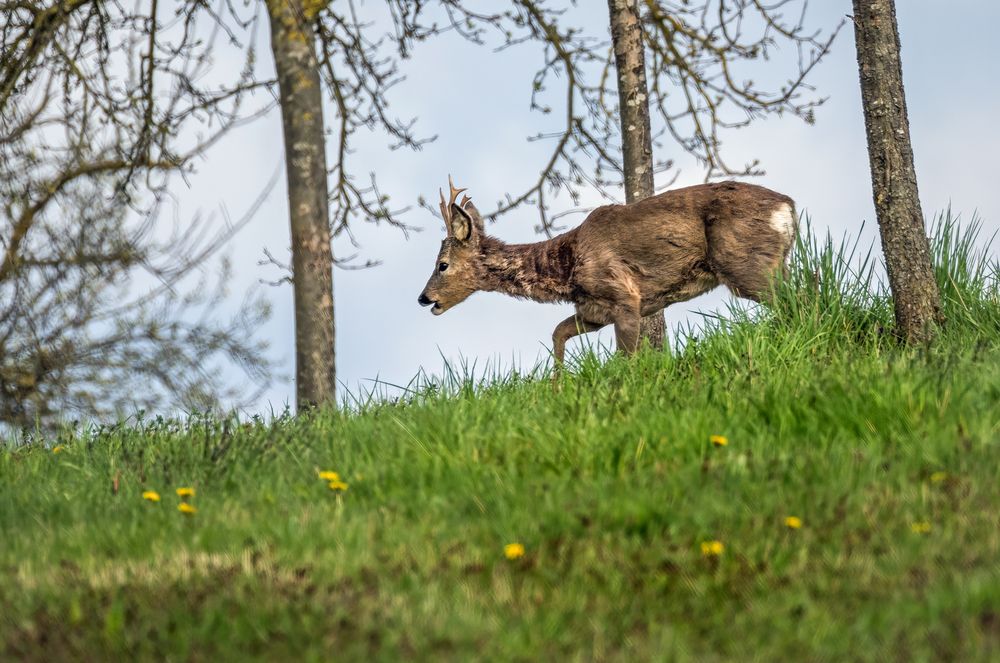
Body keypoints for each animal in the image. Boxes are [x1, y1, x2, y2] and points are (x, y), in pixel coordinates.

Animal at [416, 178, 796, 364]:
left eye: (442, 265)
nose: (423, 298)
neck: (567, 267)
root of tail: (788, 206)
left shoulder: (625, 295)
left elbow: (625, 358)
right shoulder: (594, 312)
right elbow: (558, 333)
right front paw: (558, 386)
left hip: (746, 264)